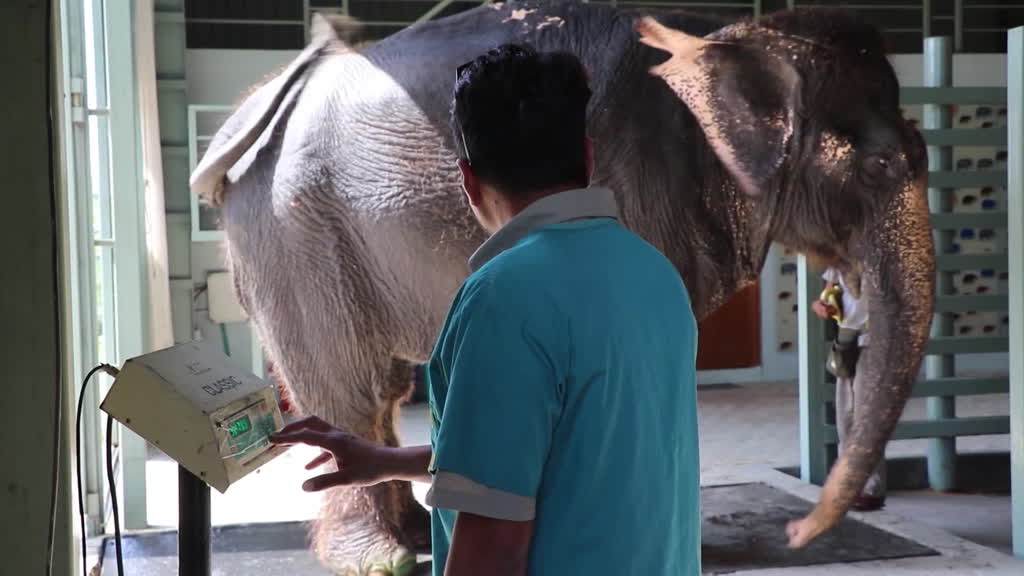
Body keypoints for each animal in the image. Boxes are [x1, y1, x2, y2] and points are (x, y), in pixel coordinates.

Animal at [192, 2, 937, 569]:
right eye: (876, 168)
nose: (797, 535)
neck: (724, 35)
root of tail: (264, 105)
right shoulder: (642, 185)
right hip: (295, 229)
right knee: (349, 387)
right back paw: (382, 558)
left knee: (380, 393)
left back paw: (407, 538)